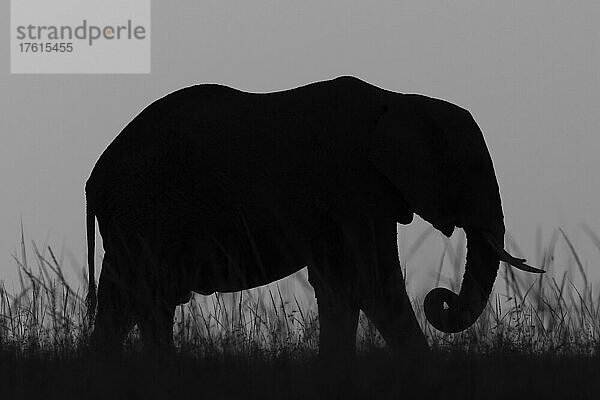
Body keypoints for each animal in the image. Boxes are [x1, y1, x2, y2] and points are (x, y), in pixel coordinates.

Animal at [85, 76, 544, 356]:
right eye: (472, 170)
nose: (442, 298)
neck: (399, 100)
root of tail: (94, 178)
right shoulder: (355, 186)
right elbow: (374, 283)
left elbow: (338, 286)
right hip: (143, 215)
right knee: (137, 299)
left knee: (136, 303)